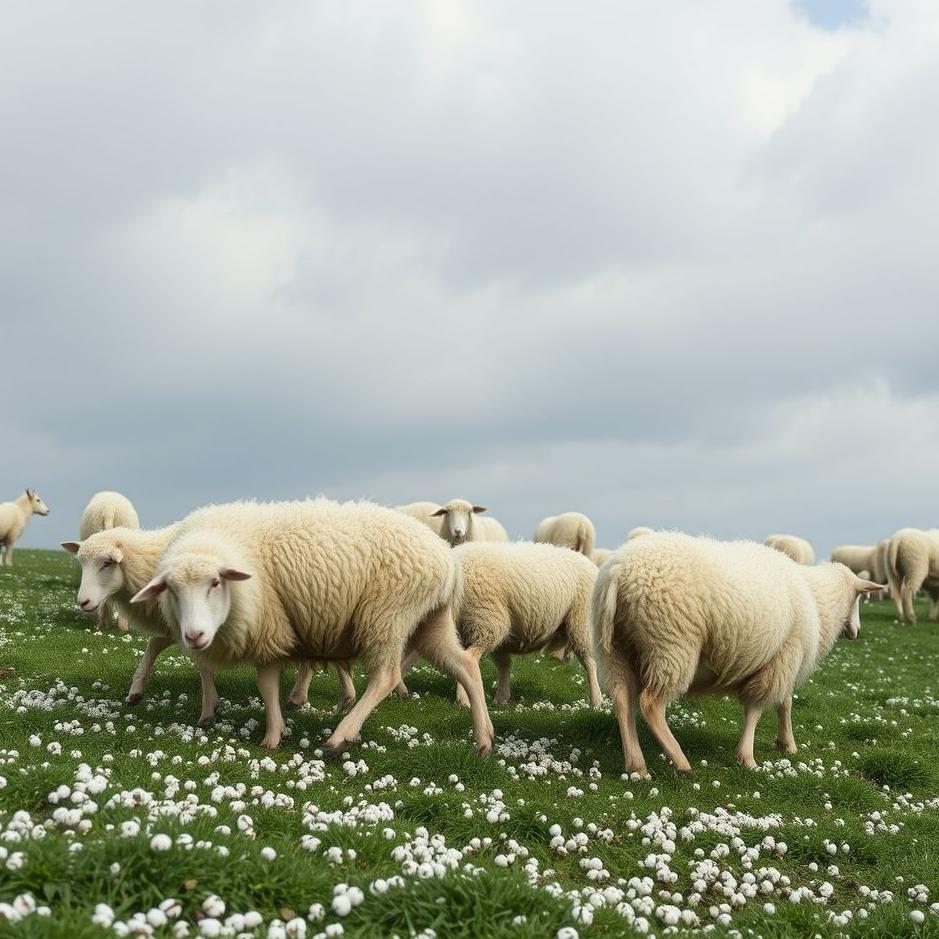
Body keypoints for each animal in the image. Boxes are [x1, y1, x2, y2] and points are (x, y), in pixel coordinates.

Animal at [62, 526, 355, 717]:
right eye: (81, 562)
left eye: (107, 563)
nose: (83, 602)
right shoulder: (178, 623)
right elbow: (154, 646)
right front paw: (136, 690)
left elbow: (193, 658)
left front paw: (210, 705)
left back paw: (312, 695)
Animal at [129, 499, 494, 753]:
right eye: (171, 590)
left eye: (215, 583)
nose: (194, 635)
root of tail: (447, 558)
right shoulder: (258, 632)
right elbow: (233, 675)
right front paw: (241, 722)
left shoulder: (268, 626)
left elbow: (265, 685)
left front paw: (271, 736)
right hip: (430, 619)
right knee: (465, 666)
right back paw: (485, 739)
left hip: (388, 614)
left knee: (387, 676)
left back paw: (339, 737)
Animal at [592, 532, 881, 774]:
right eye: (858, 598)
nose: (856, 631)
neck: (818, 602)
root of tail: (618, 572)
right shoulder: (784, 657)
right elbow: (757, 709)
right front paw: (747, 757)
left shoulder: (782, 658)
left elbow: (784, 703)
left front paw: (786, 743)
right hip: (671, 645)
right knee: (650, 704)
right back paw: (681, 761)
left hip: (615, 650)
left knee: (622, 699)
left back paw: (636, 766)